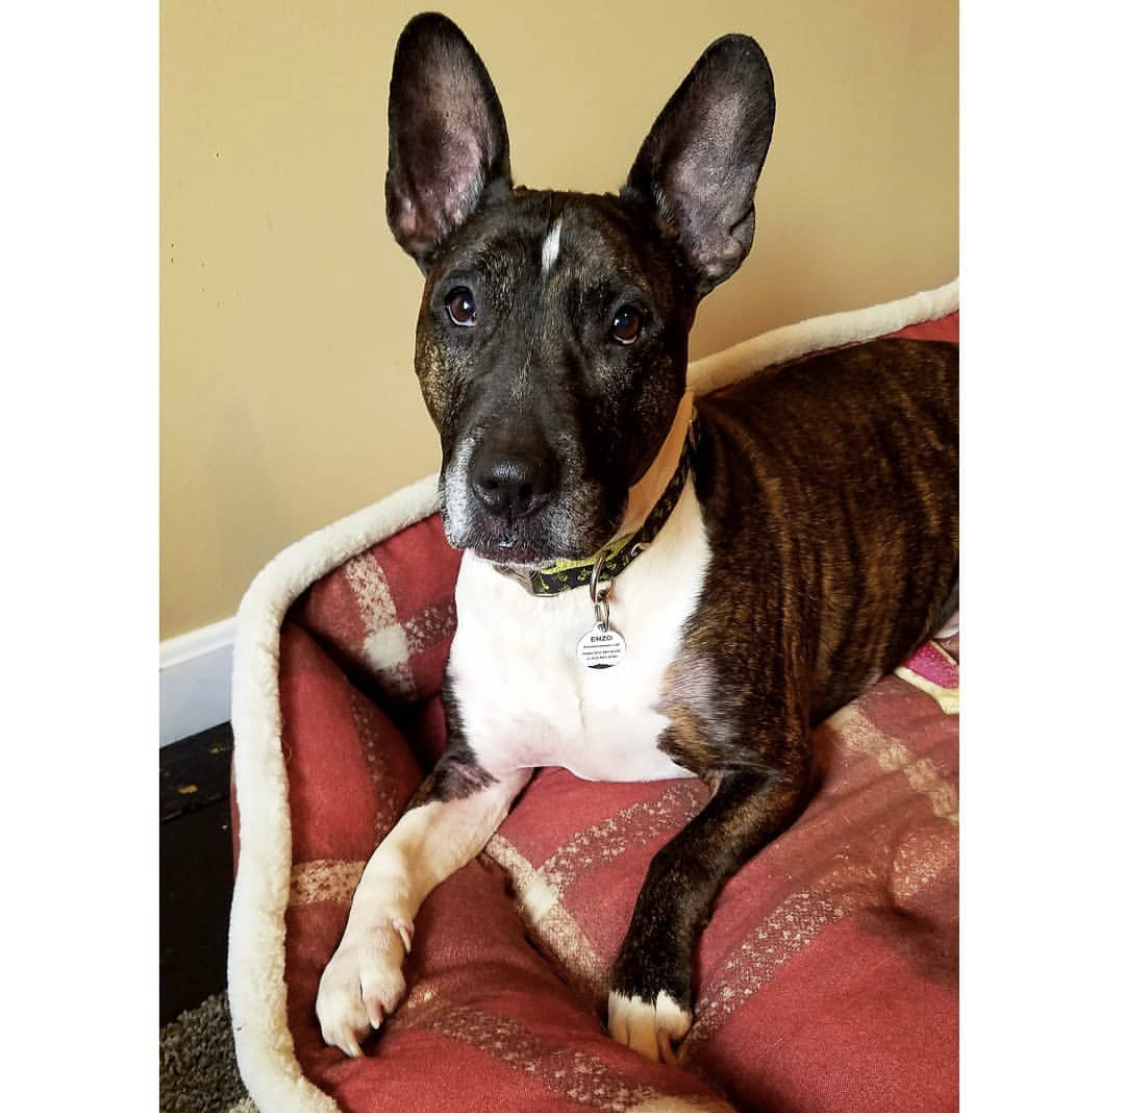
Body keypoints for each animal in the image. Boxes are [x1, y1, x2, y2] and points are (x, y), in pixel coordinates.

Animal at [315, 13, 958, 1062]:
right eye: (460, 304)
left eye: (625, 322)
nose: (506, 484)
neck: (577, 589)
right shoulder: (474, 768)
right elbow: (386, 852)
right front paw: (350, 966)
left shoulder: (771, 761)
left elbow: (676, 850)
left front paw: (644, 989)